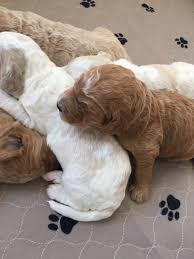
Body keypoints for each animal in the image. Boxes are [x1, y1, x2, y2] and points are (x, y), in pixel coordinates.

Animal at [0, 32, 132, 222]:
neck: (39, 72)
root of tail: (114, 203)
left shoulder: (30, 118)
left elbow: (10, 102)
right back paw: (54, 175)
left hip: (76, 187)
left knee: (69, 199)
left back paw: (54, 189)